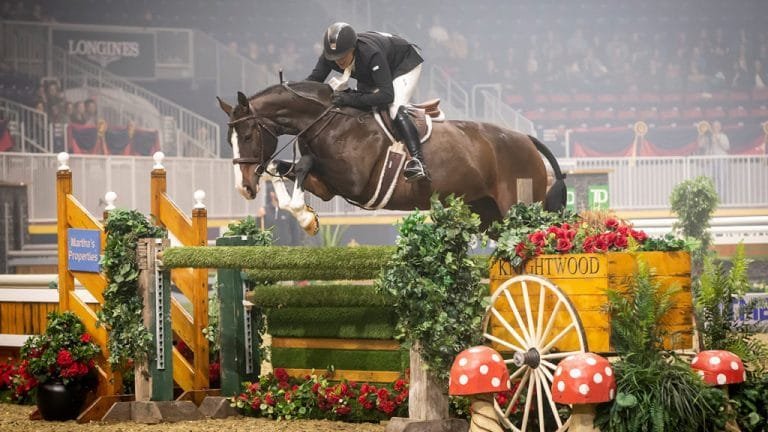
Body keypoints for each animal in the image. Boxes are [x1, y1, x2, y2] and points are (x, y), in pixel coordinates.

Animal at [217, 81, 566, 234]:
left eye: (246, 136)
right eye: (229, 140)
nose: (244, 189)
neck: (327, 120)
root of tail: (526, 139)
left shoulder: (353, 182)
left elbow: (303, 164)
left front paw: (304, 215)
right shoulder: (328, 187)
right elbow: (277, 167)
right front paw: (303, 214)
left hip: (518, 207)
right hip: (488, 213)